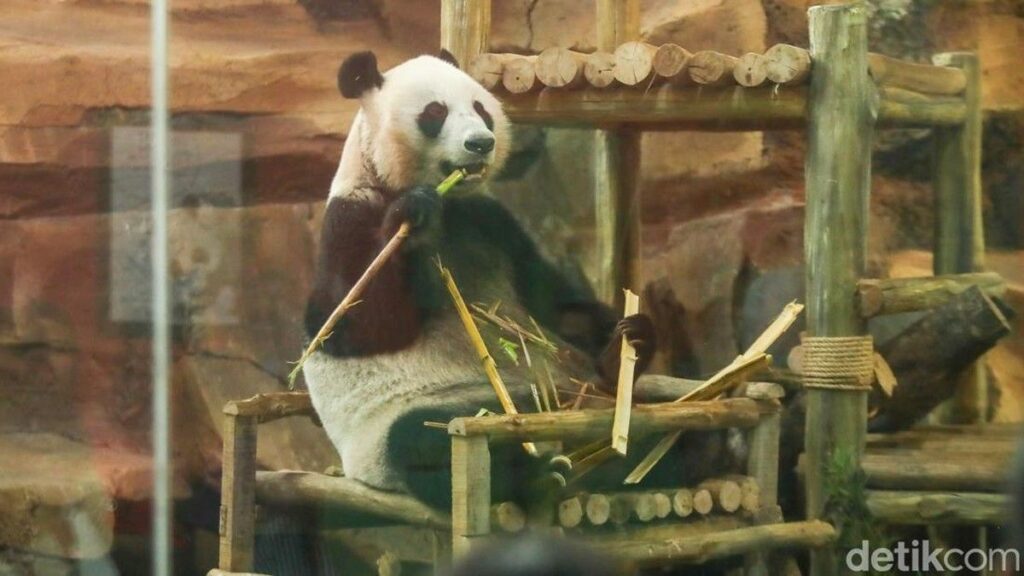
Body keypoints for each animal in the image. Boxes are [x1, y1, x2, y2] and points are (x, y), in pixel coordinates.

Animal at [302, 49, 658, 509]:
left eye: (481, 109)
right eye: (434, 113)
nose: (480, 143)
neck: (447, 204)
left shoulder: (489, 221)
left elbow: (551, 304)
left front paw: (629, 340)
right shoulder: (351, 215)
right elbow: (346, 325)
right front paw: (410, 216)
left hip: (582, 395)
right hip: (415, 420)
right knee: (420, 440)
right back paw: (539, 476)